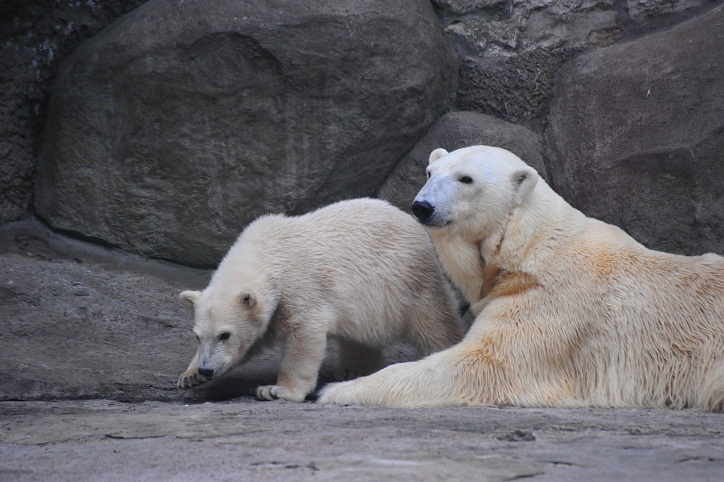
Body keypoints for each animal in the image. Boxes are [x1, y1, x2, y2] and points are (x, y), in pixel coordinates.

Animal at [320, 146, 724, 410]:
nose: (422, 206)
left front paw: (337, 390)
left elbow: (479, 366)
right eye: (430, 173)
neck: (533, 249)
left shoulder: (548, 306)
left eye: (466, 178)